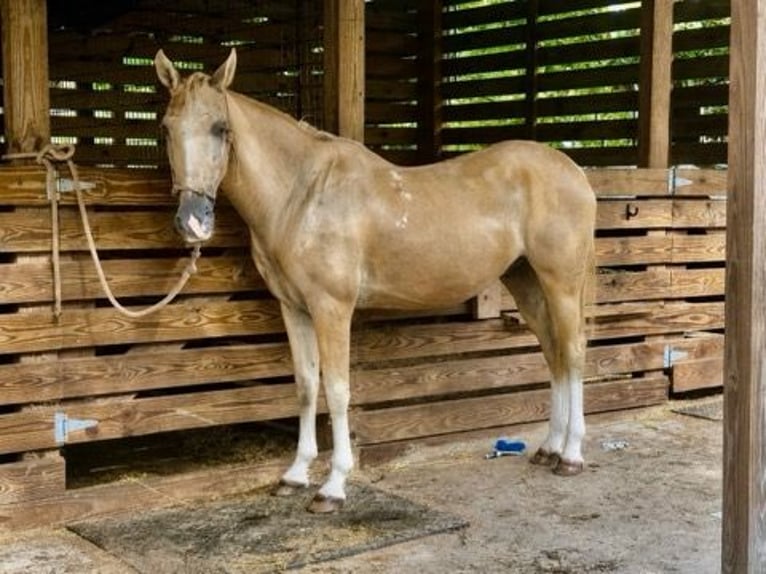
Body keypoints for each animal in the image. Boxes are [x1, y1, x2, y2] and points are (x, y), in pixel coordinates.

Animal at [154, 48, 597, 513]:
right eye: (166, 128)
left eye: (220, 128)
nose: (192, 221)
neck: (302, 195)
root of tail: (574, 172)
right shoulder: (294, 308)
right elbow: (306, 386)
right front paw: (295, 475)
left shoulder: (332, 308)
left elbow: (337, 390)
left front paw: (333, 486)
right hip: (526, 280)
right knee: (553, 353)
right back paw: (549, 448)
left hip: (561, 282)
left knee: (573, 351)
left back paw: (571, 455)